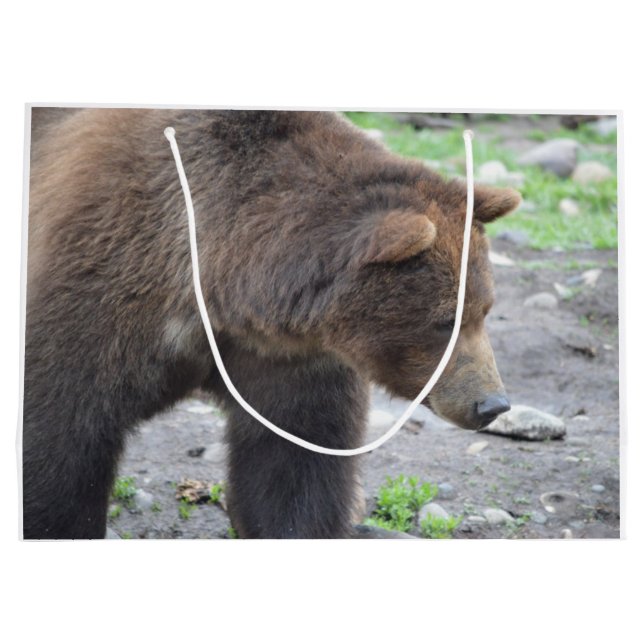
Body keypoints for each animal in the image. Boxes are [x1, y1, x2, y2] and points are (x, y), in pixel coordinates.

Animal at [23, 108, 519, 539]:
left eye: (484, 310)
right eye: (445, 321)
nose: (492, 403)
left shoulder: (290, 358)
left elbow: (294, 464)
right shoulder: (103, 281)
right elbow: (63, 437)